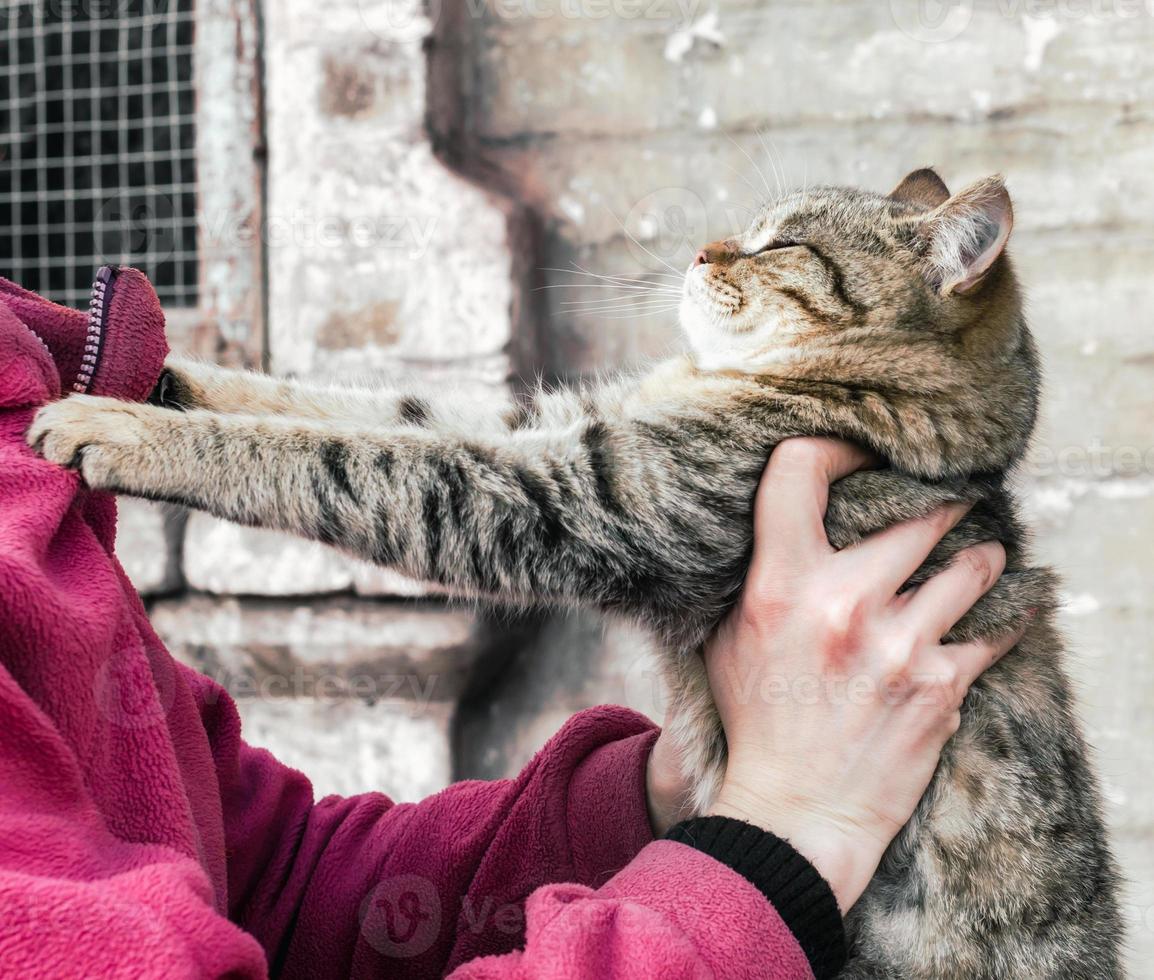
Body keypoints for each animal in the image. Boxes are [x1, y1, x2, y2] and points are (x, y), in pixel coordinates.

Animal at [31, 171, 1121, 974]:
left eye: (783, 247)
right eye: (749, 233)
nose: (702, 250)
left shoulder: (571, 491)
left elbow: (345, 455)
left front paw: (127, 426)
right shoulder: (552, 426)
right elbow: (353, 405)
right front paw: (159, 371)